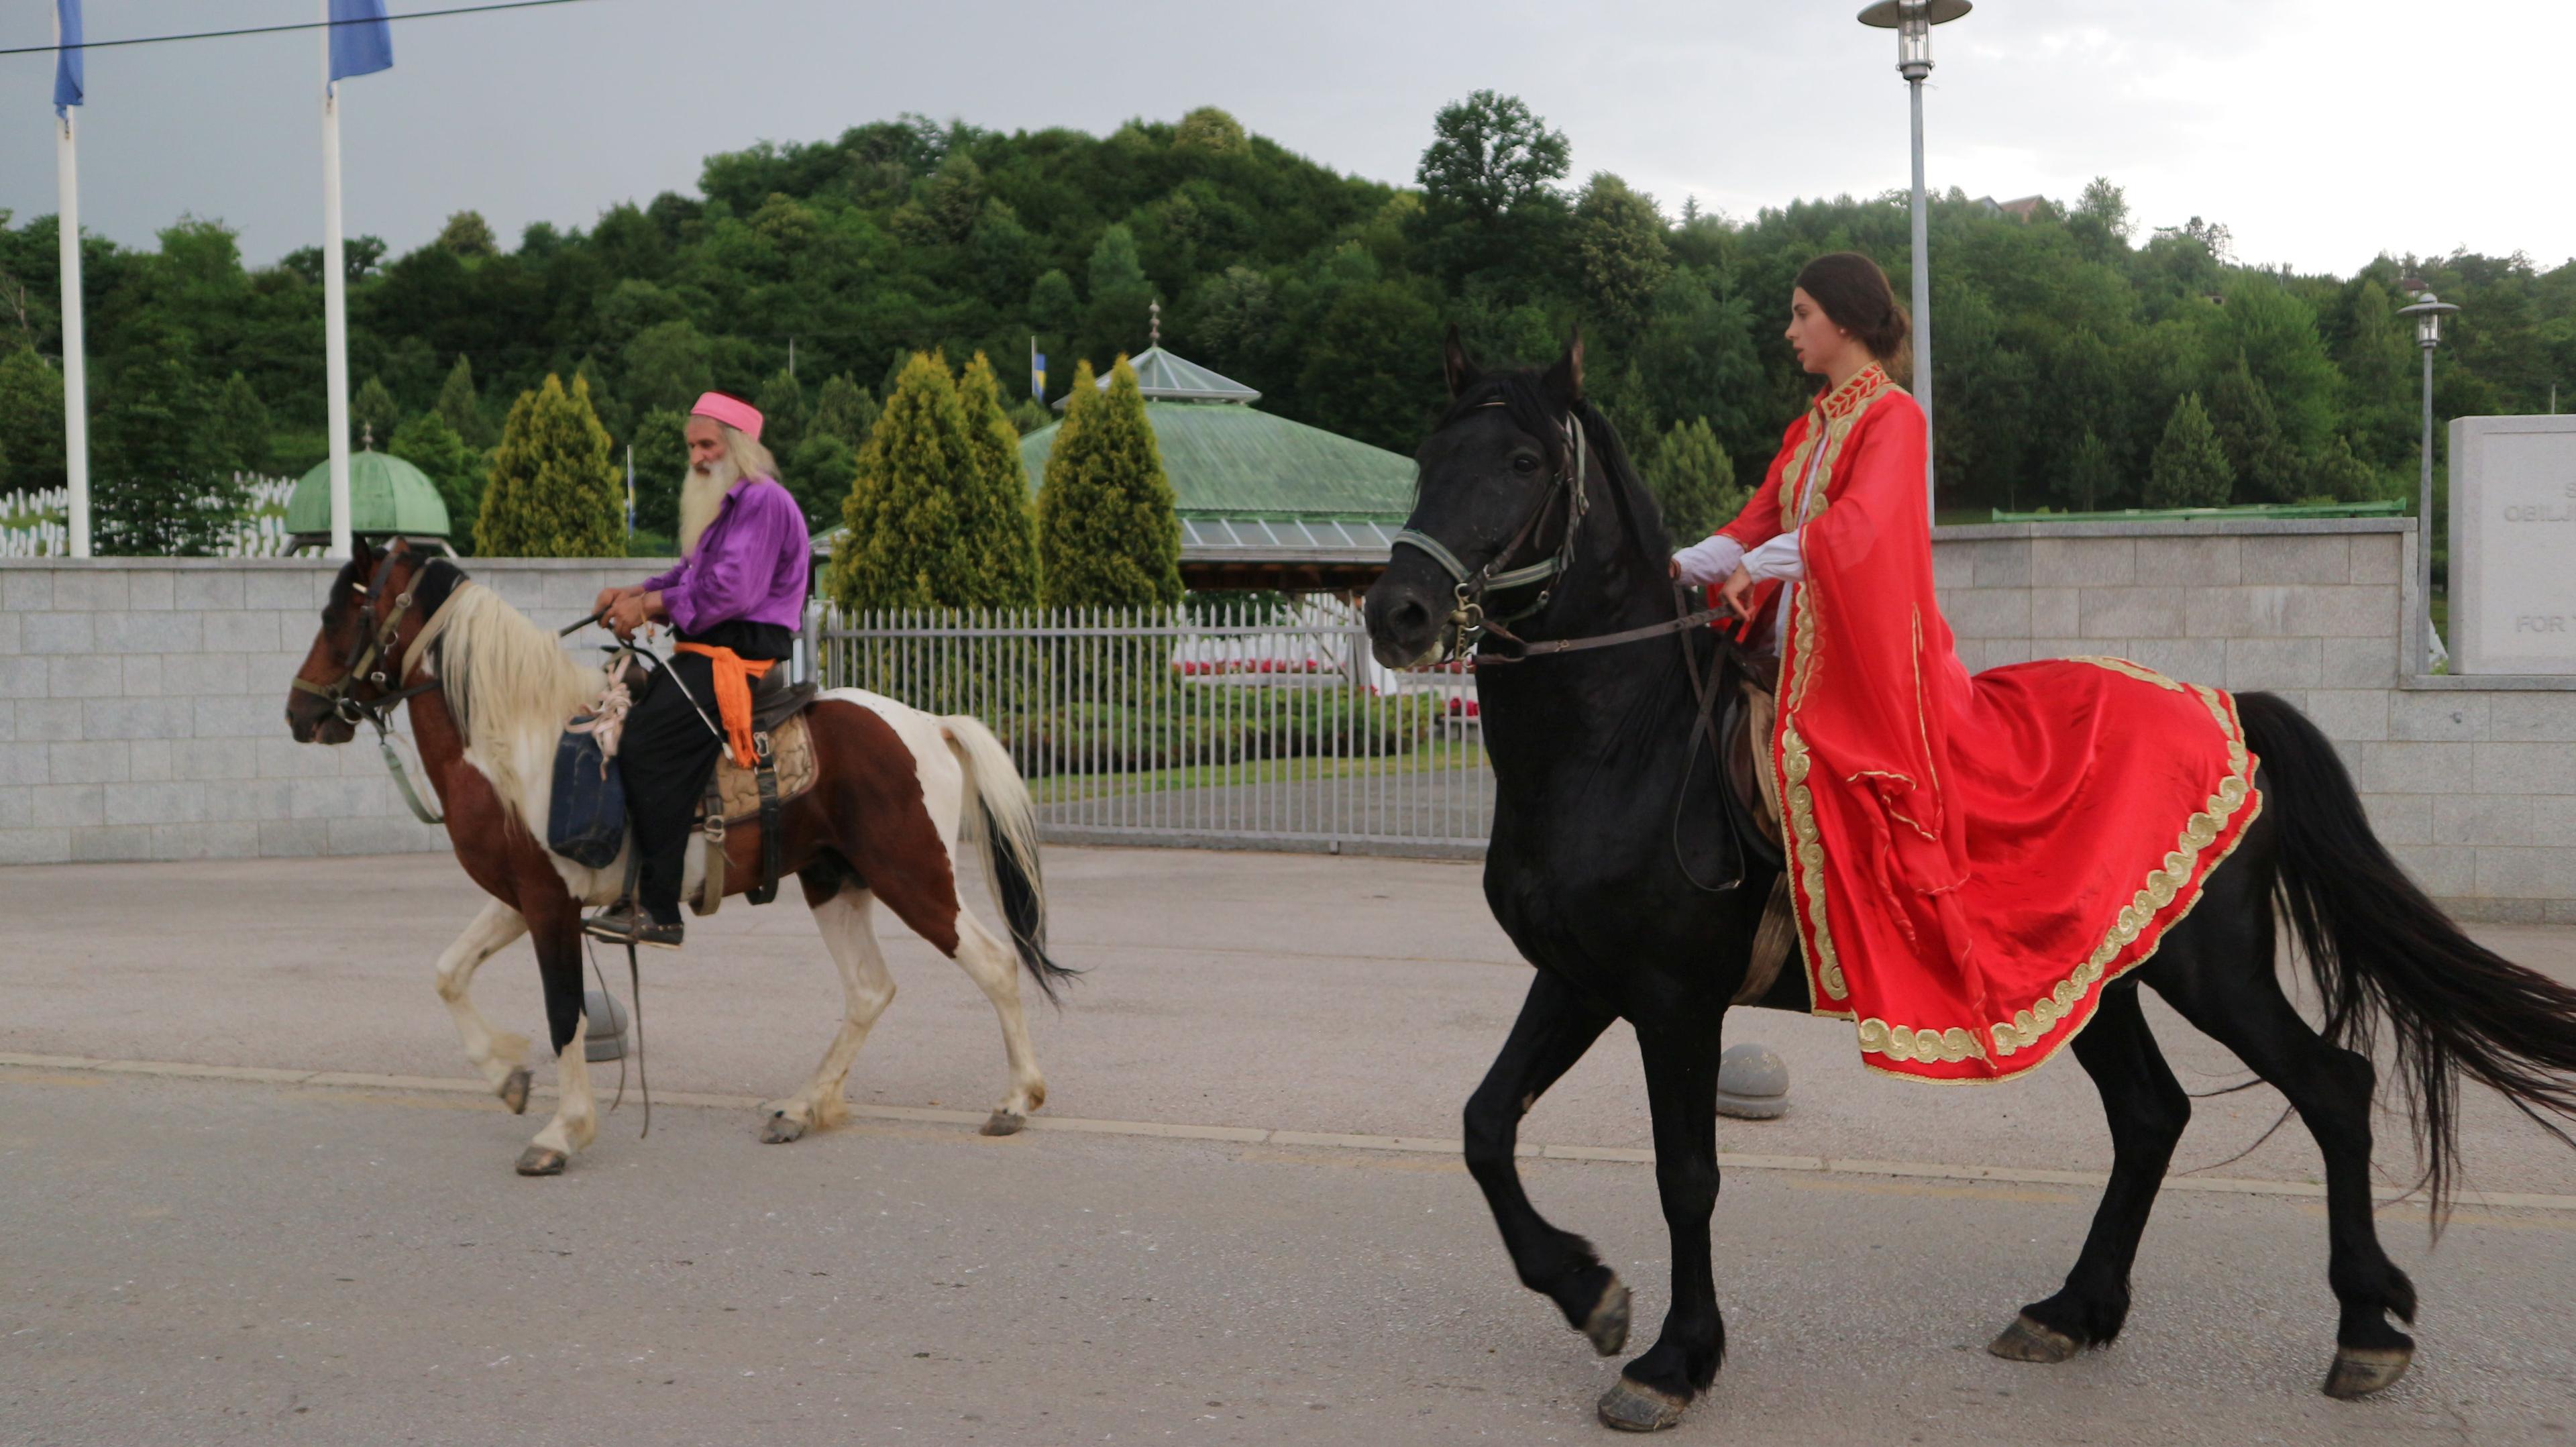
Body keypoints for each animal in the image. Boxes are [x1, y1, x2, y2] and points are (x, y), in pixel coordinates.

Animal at [287, 538, 1071, 1174]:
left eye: (338, 615)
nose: (301, 714)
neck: (518, 743)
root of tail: (931, 724)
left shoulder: (548, 905)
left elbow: (565, 1014)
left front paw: (561, 1133)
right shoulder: (523, 896)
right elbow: (449, 972)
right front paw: (506, 1078)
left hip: (914, 874)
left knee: (994, 964)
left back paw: (1016, 1099)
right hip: (833, 880)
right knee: (869, 990)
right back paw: (801, 1108)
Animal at [1381, 329, 2576, 1431]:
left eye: (1525, 459)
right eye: (1429, 452)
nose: (1398, 611)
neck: (1624, 737)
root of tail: (2231, 705)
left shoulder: (1675, 1002)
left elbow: (1688, 1176)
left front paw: (1673, 1359)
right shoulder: (1580, 980)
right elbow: (1485, 1126)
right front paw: (1588, 1291)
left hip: (2212, 971)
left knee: (2331, 1086)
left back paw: (2366, 1325)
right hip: (2097, 975)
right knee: (2152, 1113)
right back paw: (2072, 1309)